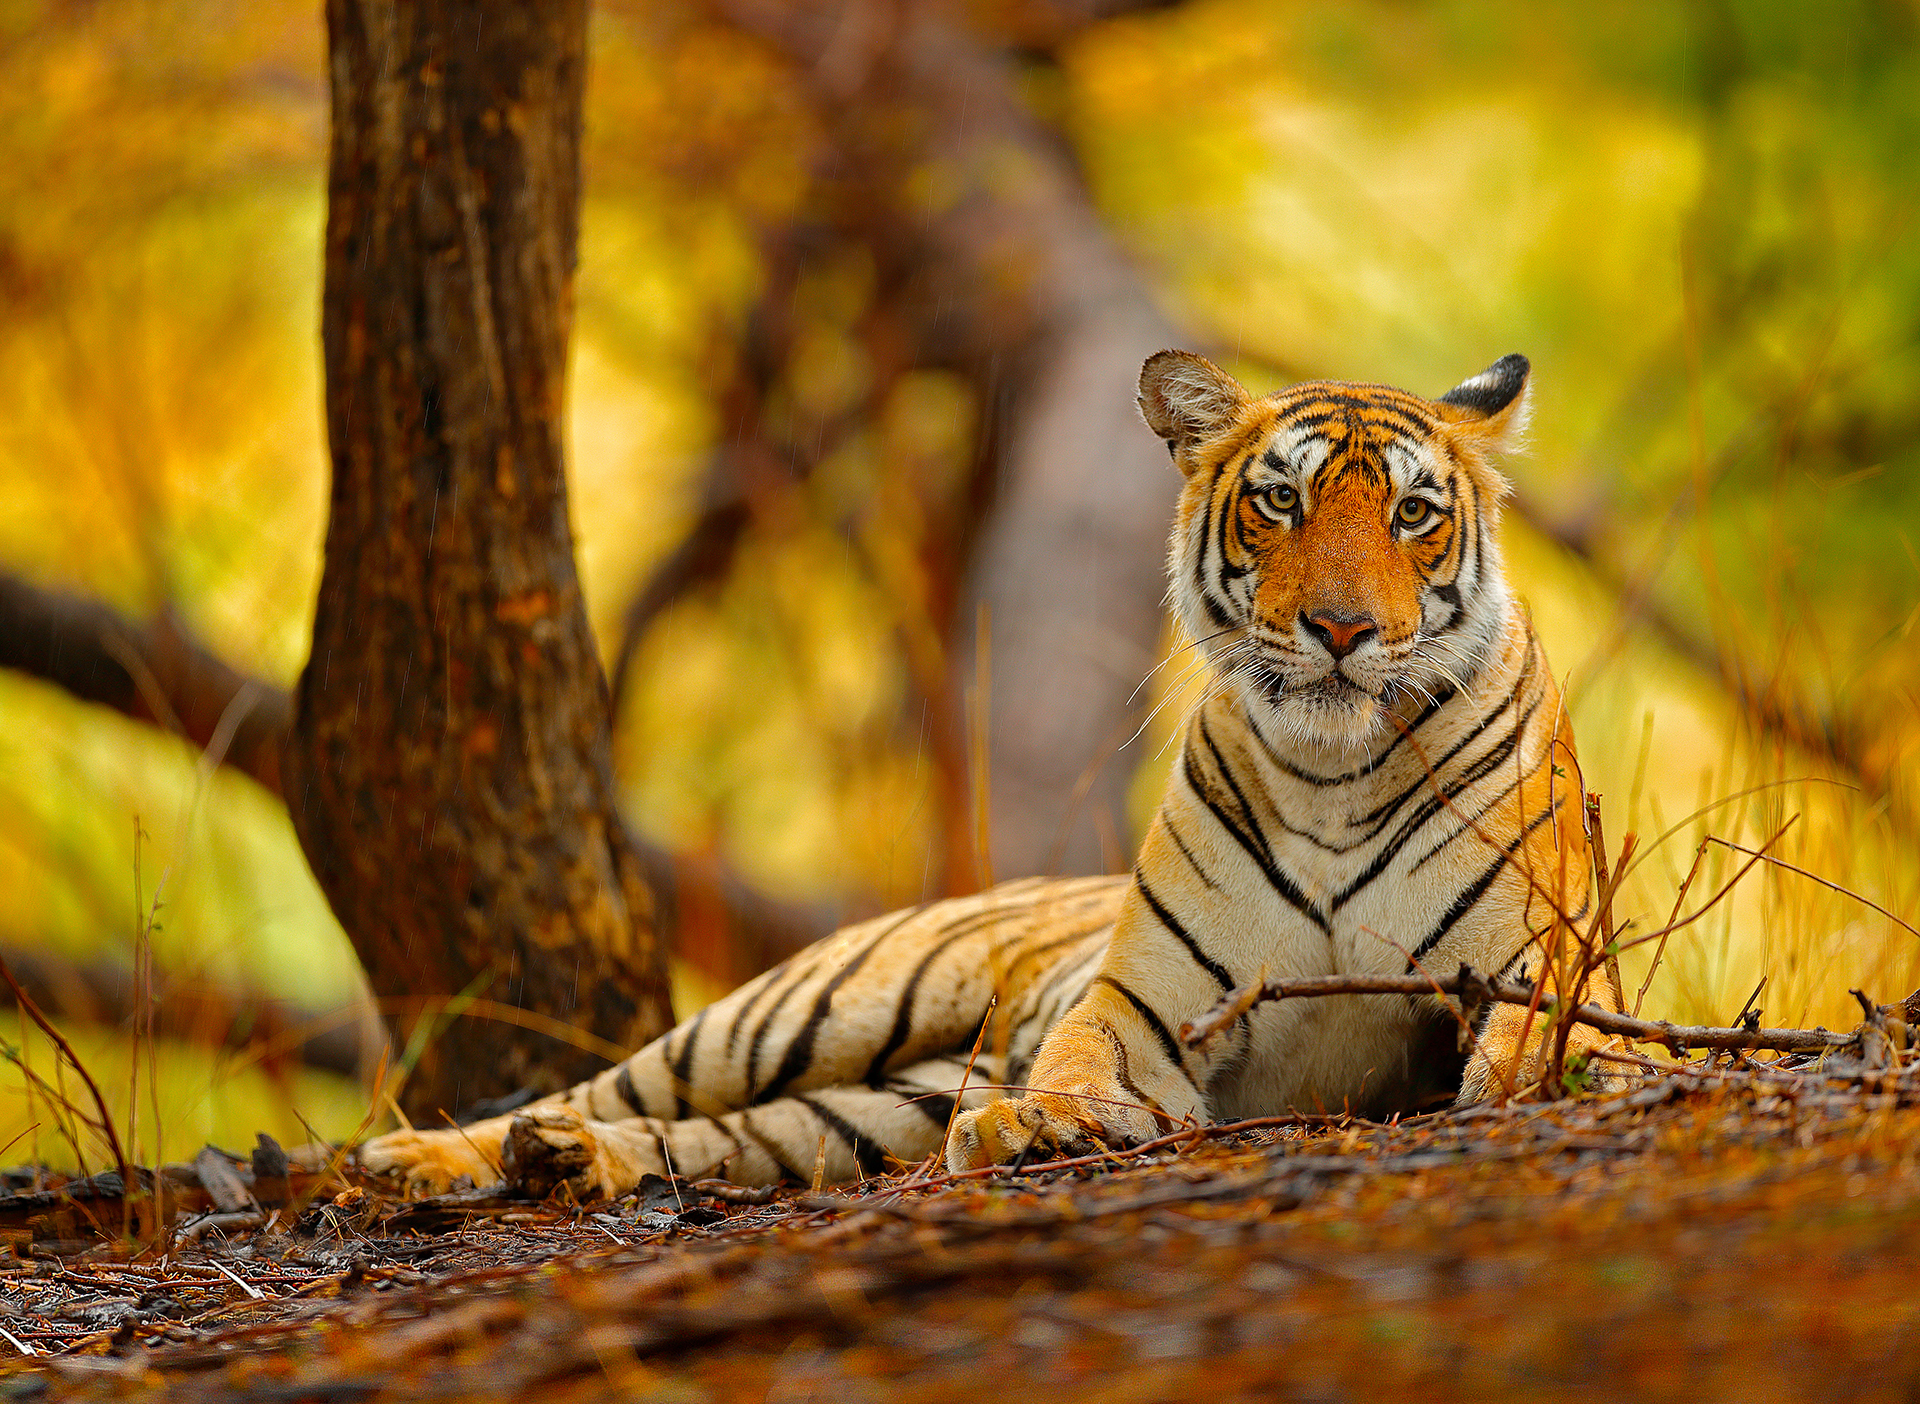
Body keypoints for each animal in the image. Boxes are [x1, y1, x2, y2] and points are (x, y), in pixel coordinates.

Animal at [358, 350, 1625, 1200]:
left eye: (1413, 513)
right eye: (1282, 500)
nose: (1344, 629)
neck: (1334, 772)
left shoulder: (1538, 964)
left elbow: (1550, 1040)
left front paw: (1563, 1081)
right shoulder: (1147, 1001)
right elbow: (1081, 1059)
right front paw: (1042, 1123)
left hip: (872, 1106)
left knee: (733, 1138)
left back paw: (563, 1165)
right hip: (797, 1012)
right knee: (611, 1088)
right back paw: (417, 1156)